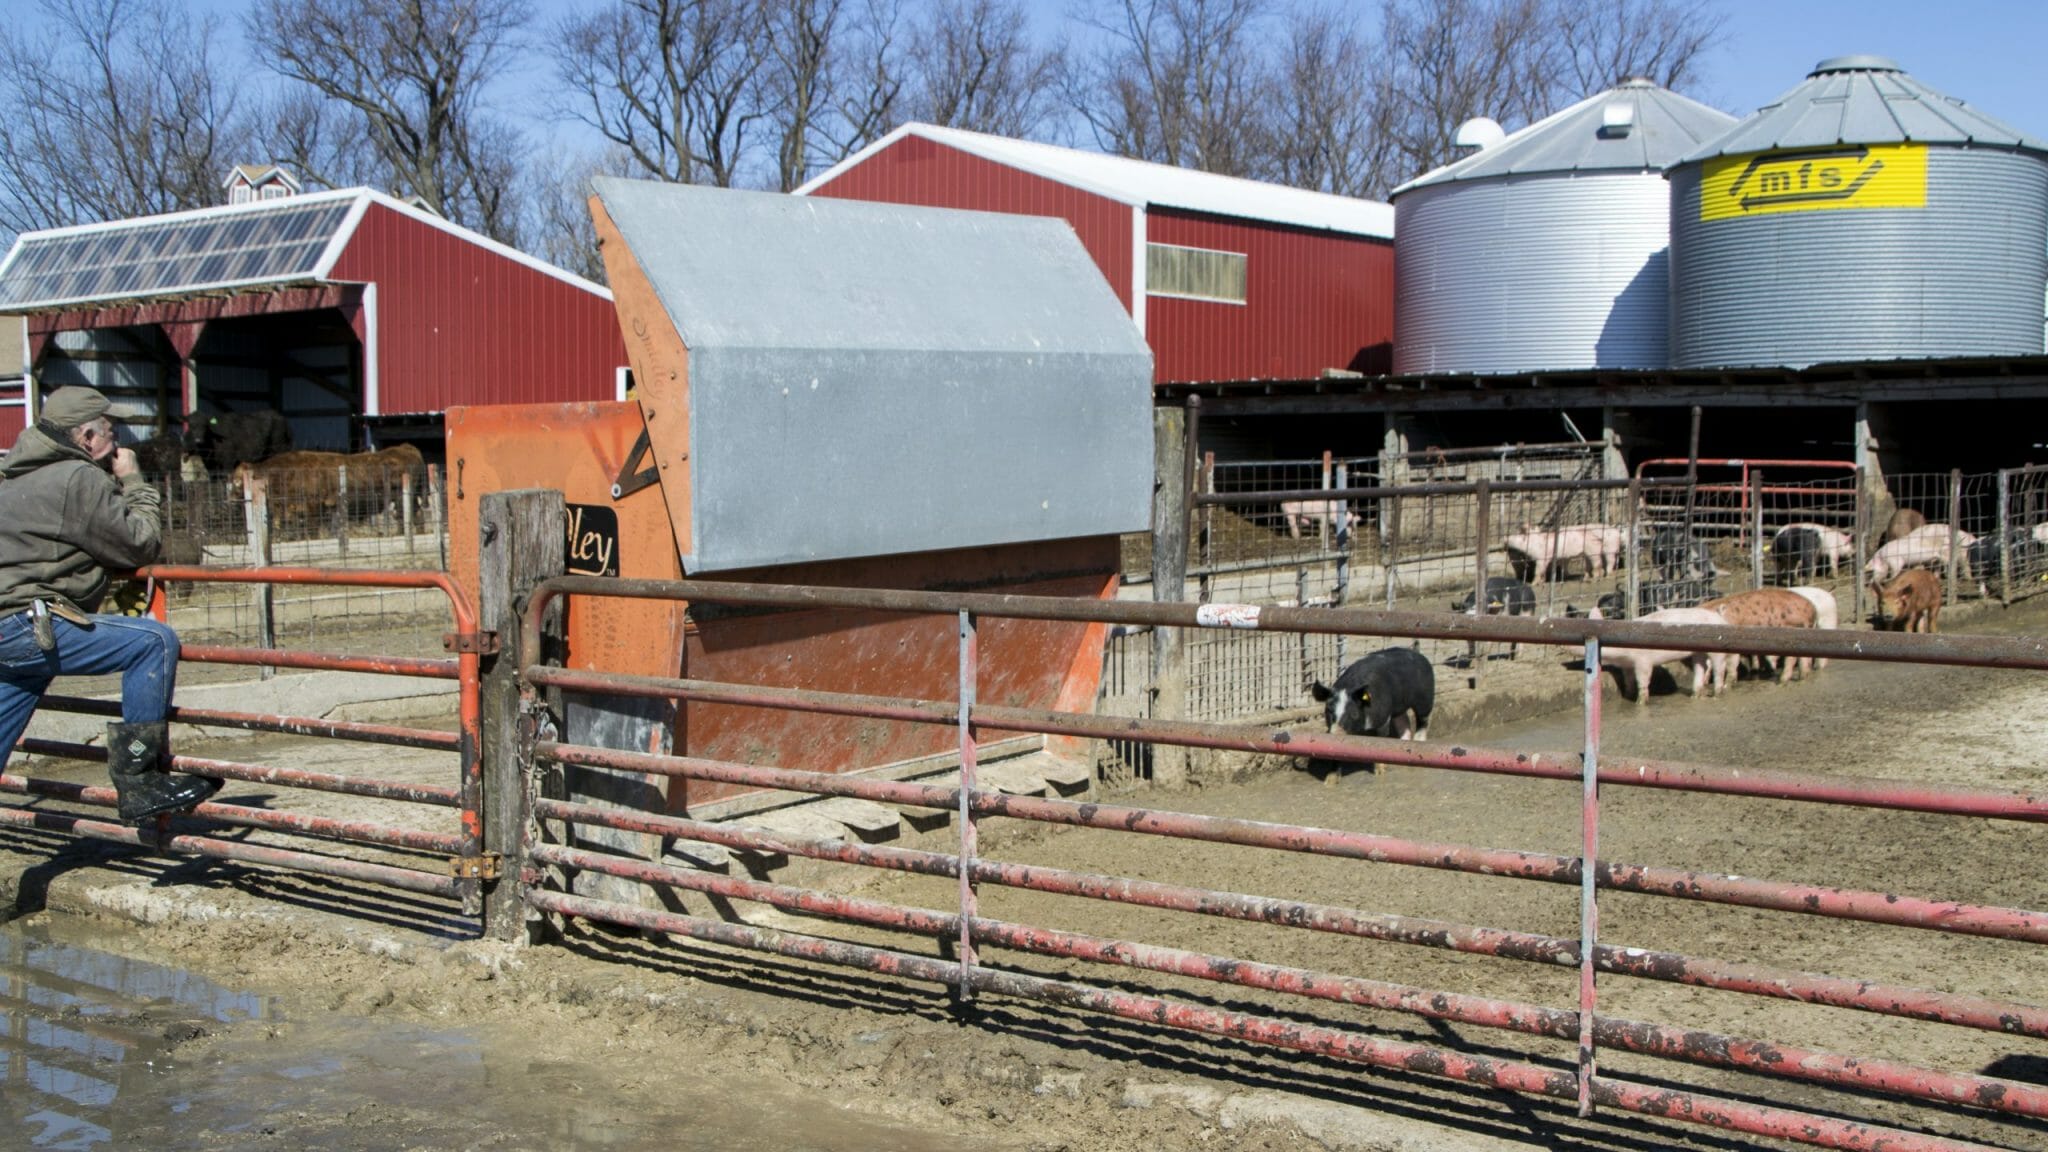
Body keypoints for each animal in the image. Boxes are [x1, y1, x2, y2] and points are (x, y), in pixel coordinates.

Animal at [1598, 606, 1732, 704]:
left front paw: (1640, 703)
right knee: (1700, 666)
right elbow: (1628, 680)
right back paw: (1694, 696)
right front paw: (1627, 695)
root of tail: (1721, 619)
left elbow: (1643, 681)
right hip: (1698, 652)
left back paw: (1716, 695)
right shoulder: (1627, 665)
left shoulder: (1643, 660)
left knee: (1719, 668)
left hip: (1717, 650)